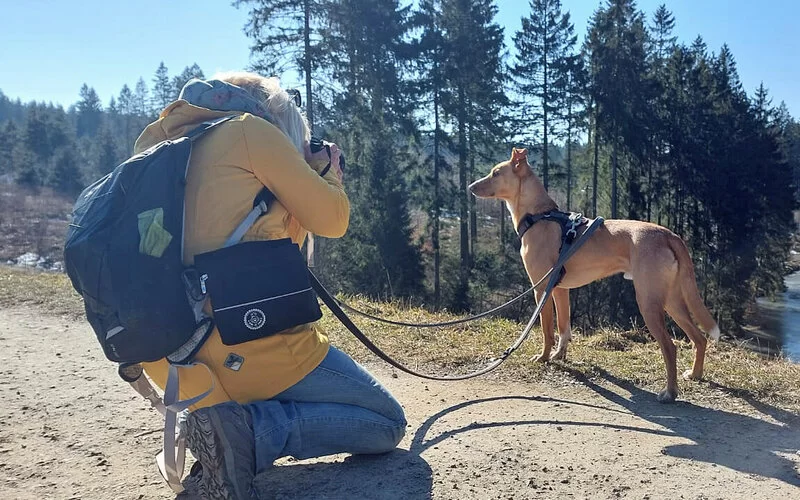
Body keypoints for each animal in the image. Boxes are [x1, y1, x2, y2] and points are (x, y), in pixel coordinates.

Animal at [466, 147, 720, 402]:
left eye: (496, 173)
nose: (470, 187)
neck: (539, 216)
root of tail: (669, 234)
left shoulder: (541, 289)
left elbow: (547, 331)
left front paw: (544, 358)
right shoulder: (561, 289)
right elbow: (563, 328)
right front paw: (559, 355)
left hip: (649, 301)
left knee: (670, 347)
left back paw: (669, 392)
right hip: (671, 300)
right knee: (699, 338)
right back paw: (695, 375)